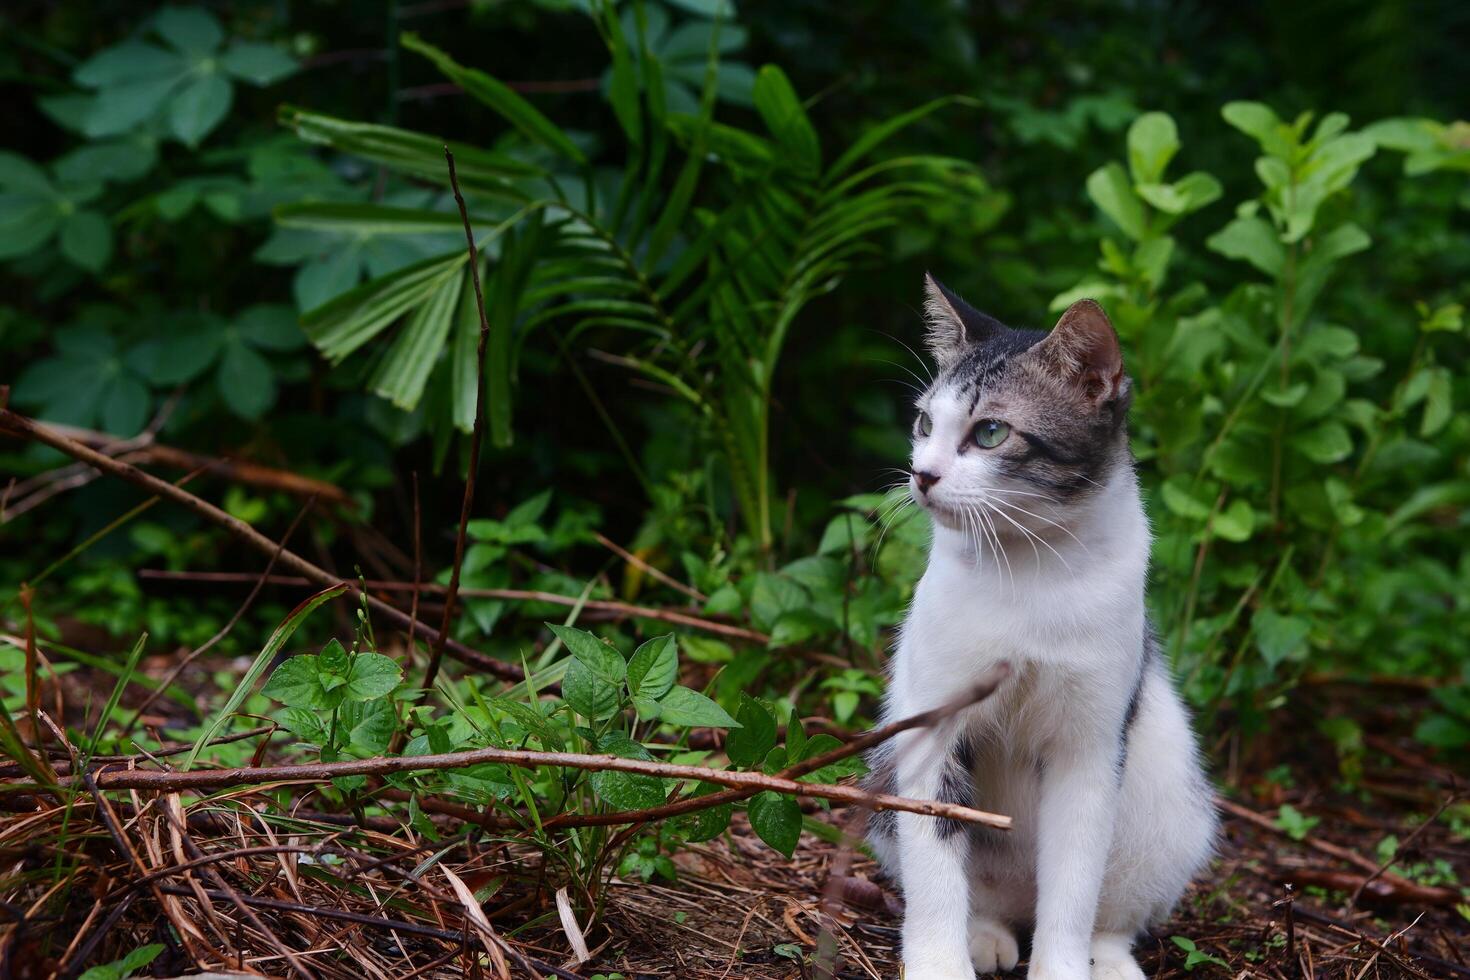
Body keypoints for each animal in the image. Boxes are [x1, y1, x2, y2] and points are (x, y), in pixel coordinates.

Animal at [858, 276, 1217, 980]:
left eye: (991, 432)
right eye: (925, 423)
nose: (922, 474)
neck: (1028, 571)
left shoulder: (1091, 744)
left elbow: (1074, 880)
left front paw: (1063, 968)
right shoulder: (931, 721)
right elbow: (935, 852)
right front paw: (939, 965)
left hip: (1172, 814)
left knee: (1110, 911)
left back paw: (1109, 959)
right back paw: (986, 934)